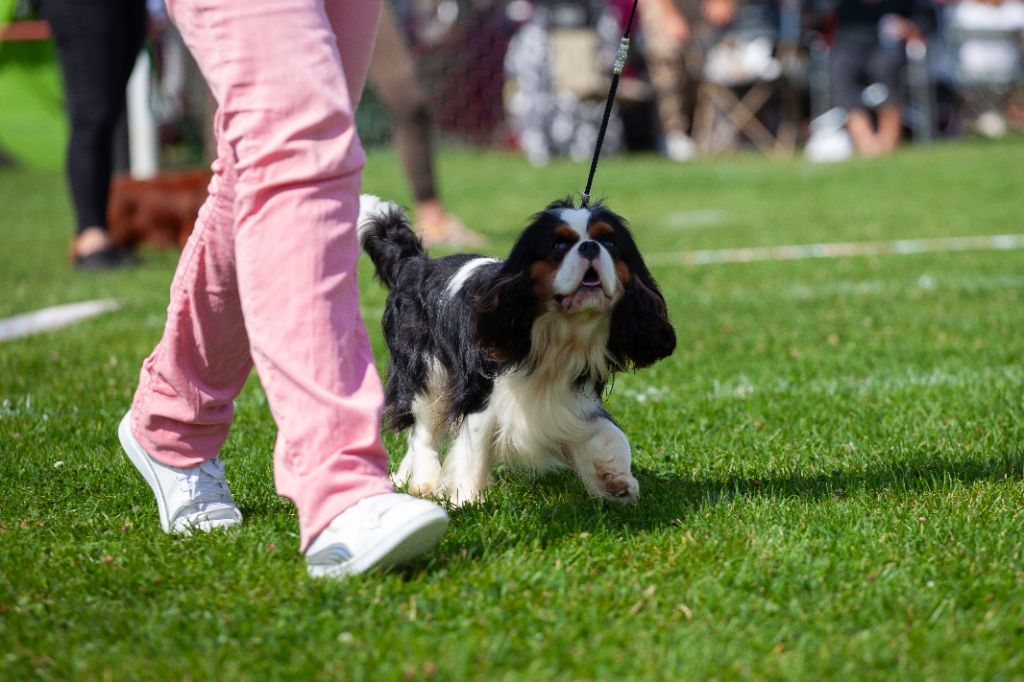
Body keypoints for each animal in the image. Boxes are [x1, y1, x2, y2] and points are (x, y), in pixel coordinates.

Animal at [356, 193, 675, 501]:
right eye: (559, 245)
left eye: (609, 242)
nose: (590, 247)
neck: (558, 331)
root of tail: (415, 264)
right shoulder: (481, 394)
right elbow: (474, 450)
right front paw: (468, 502)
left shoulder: (574, 399)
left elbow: (609, 433)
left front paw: (616, 481)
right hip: (425, 368)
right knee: (422, 431)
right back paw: (425, 481)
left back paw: (402, 478)